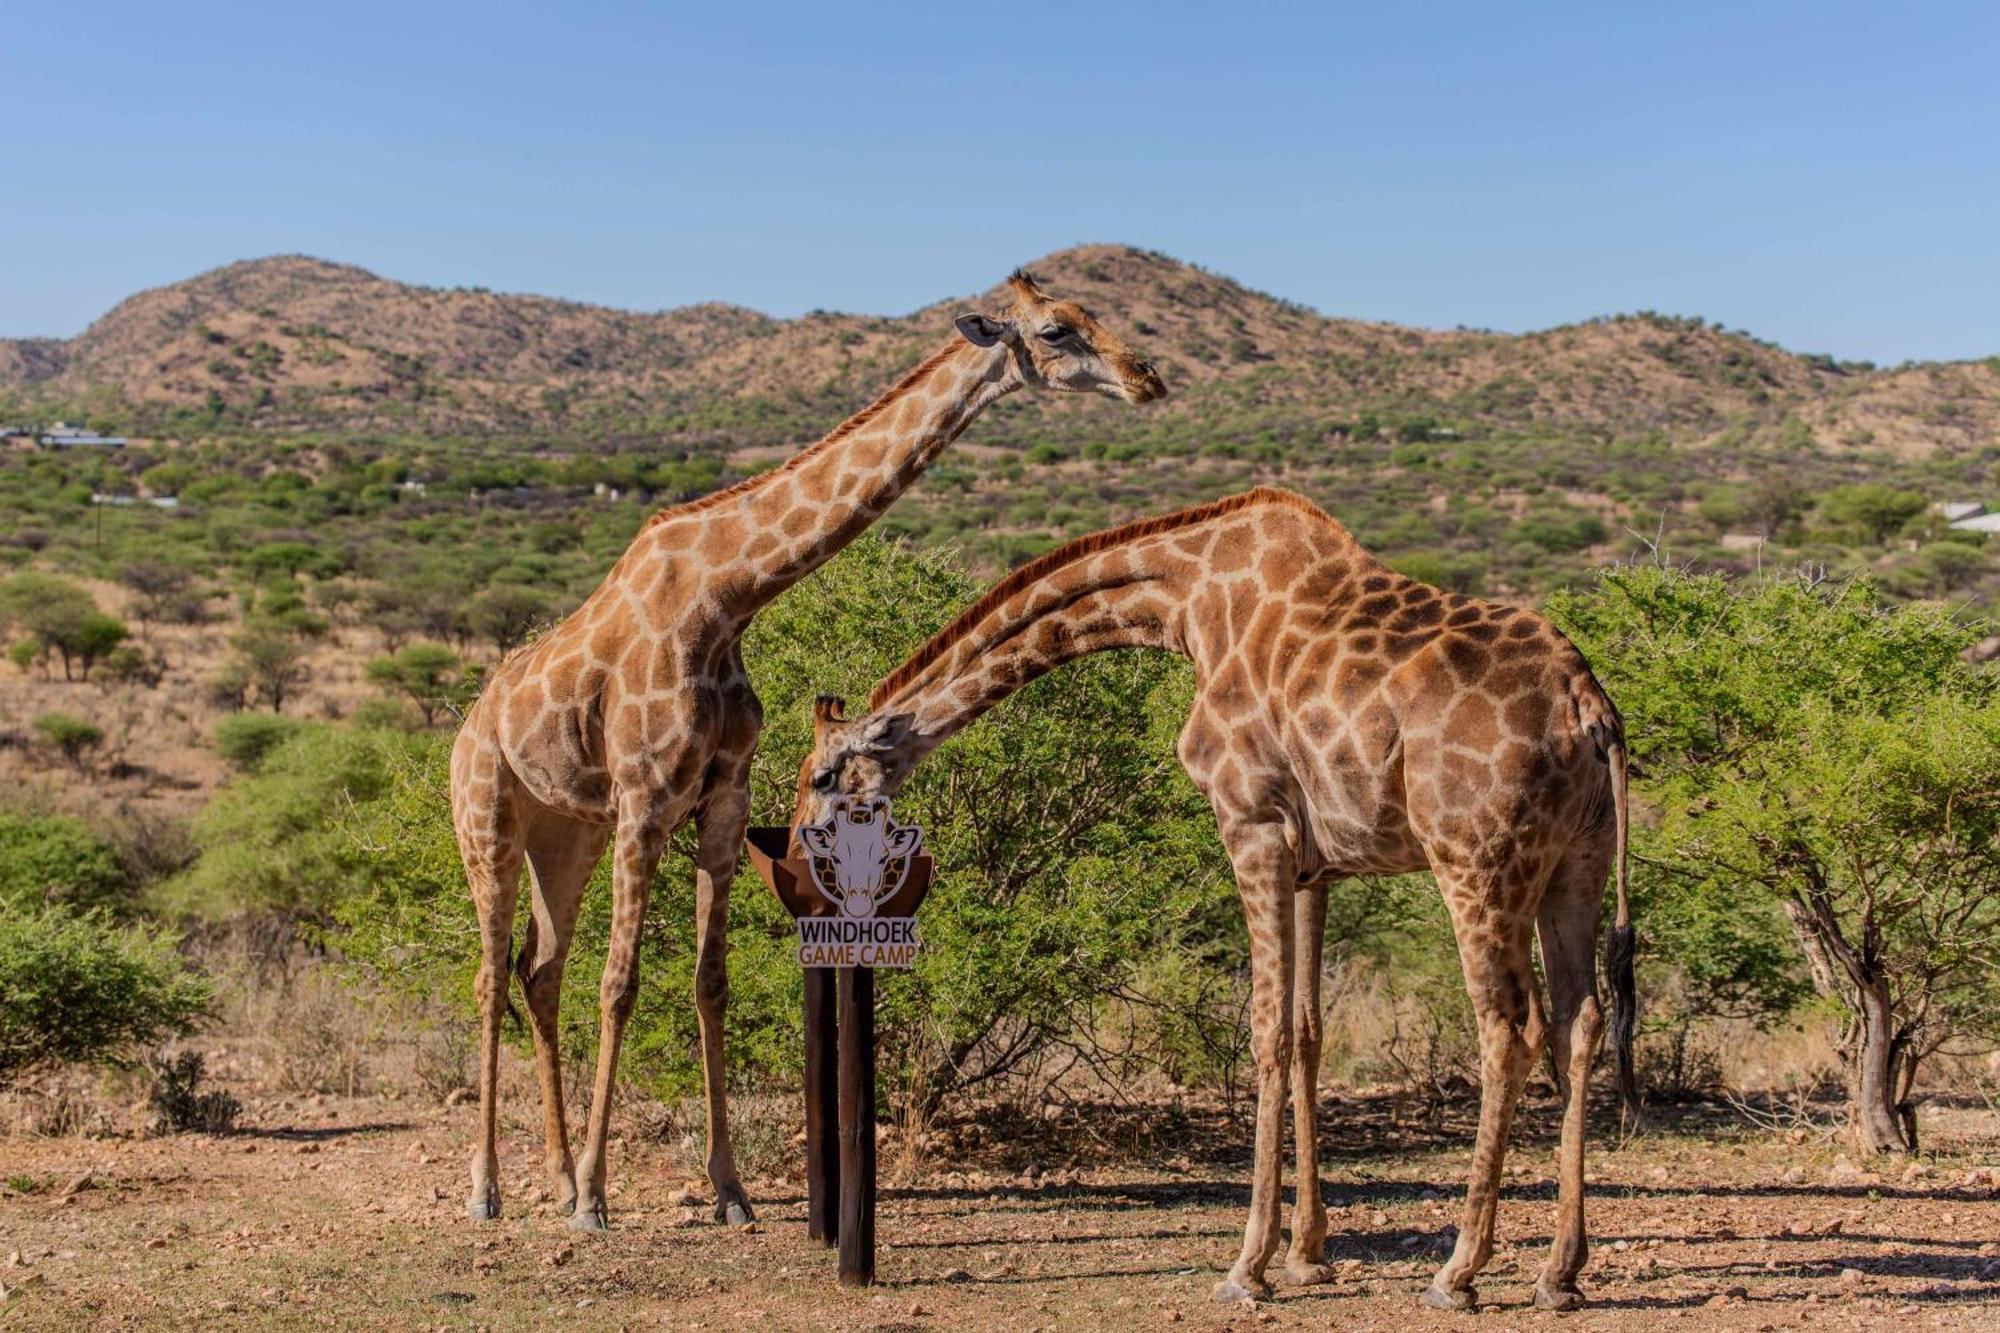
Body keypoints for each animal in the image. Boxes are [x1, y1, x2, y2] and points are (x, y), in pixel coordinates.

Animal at [446, 270, 1168, 1224]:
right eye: (1056, 330)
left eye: (1093, 315)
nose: (1147, 376)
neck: (727, 595)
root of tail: (466, 724)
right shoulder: (646, 798)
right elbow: (623, 982)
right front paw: (598, 1200)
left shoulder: (721, 798)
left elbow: (709, 980)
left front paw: (730, 1190)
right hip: (488, 817)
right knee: (493, 972)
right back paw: (491, 1187)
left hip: (566, 834)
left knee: (540, 969)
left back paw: (558, 1172)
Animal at [788, 482, 1632, 1304]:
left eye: (823, 776)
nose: (798, 860)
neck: (1187, 602)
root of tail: (1587, 703)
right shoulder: (1317, 862)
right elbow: (1308, 1030)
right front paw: (1307, 1254)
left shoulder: (1250, 821)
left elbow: (1265, 1029)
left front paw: (1248, 1264)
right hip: (1575, 864)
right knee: (1579, 1020)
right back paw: (1560, 1272)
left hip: (1476, 861)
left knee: (1509, 1029)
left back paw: (1458, 1271)